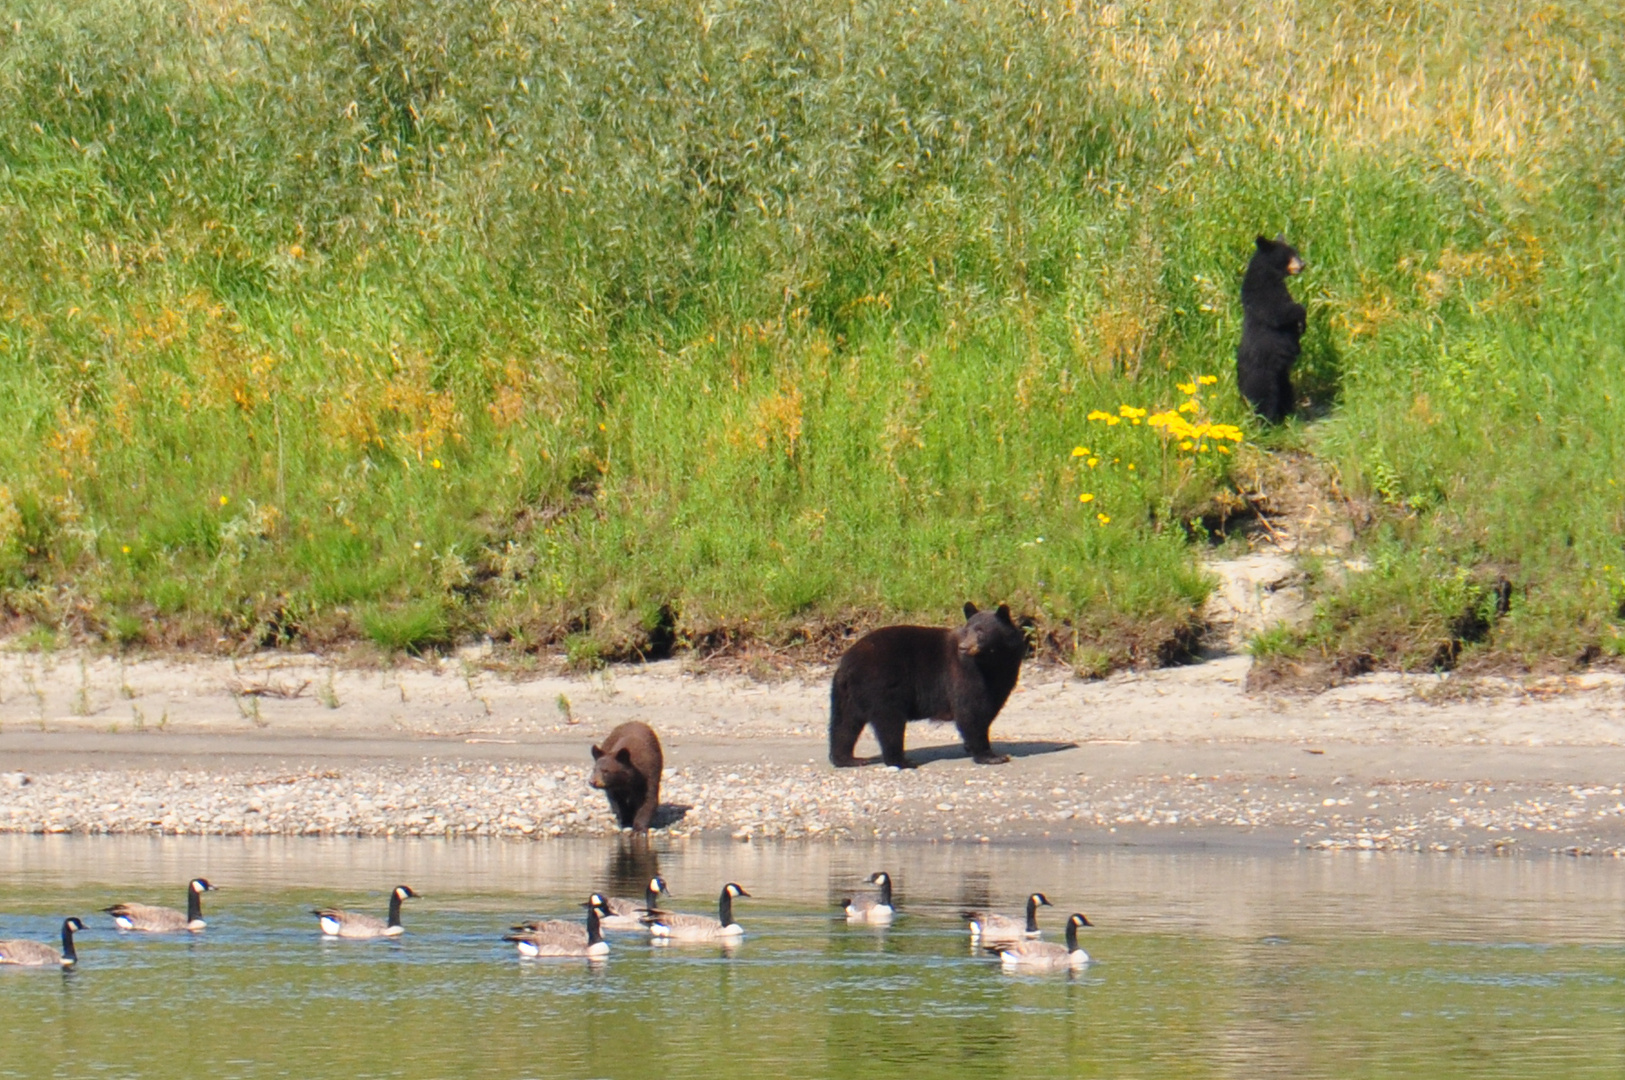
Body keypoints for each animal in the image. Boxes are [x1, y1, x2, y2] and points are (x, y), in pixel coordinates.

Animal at [832, 600, 1020, 769]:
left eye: (981, 632)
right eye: (967, 630)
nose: (964, 647)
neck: (992, 662)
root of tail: (848, 661)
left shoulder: (1001, 679)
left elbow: (988, 708)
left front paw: (971, 747)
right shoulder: (965, 673)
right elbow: (970, 711)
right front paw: (991, 756)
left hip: (847, 692)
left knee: (845, 723)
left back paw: (848, 759)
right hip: (881, 684)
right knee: (889, 722)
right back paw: (902, 761)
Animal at [1228, 233, 1306, 422]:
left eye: (1295, 252)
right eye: (1290, 254)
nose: (1303, 264)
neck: (1269, 274)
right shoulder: (1263, 291)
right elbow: (1278, 312)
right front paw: (1302, 318)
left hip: (1281, 375)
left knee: (1285, 390)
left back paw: (1286, 413)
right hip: (1262, 374)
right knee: (1263, 396)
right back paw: (1266, 420)